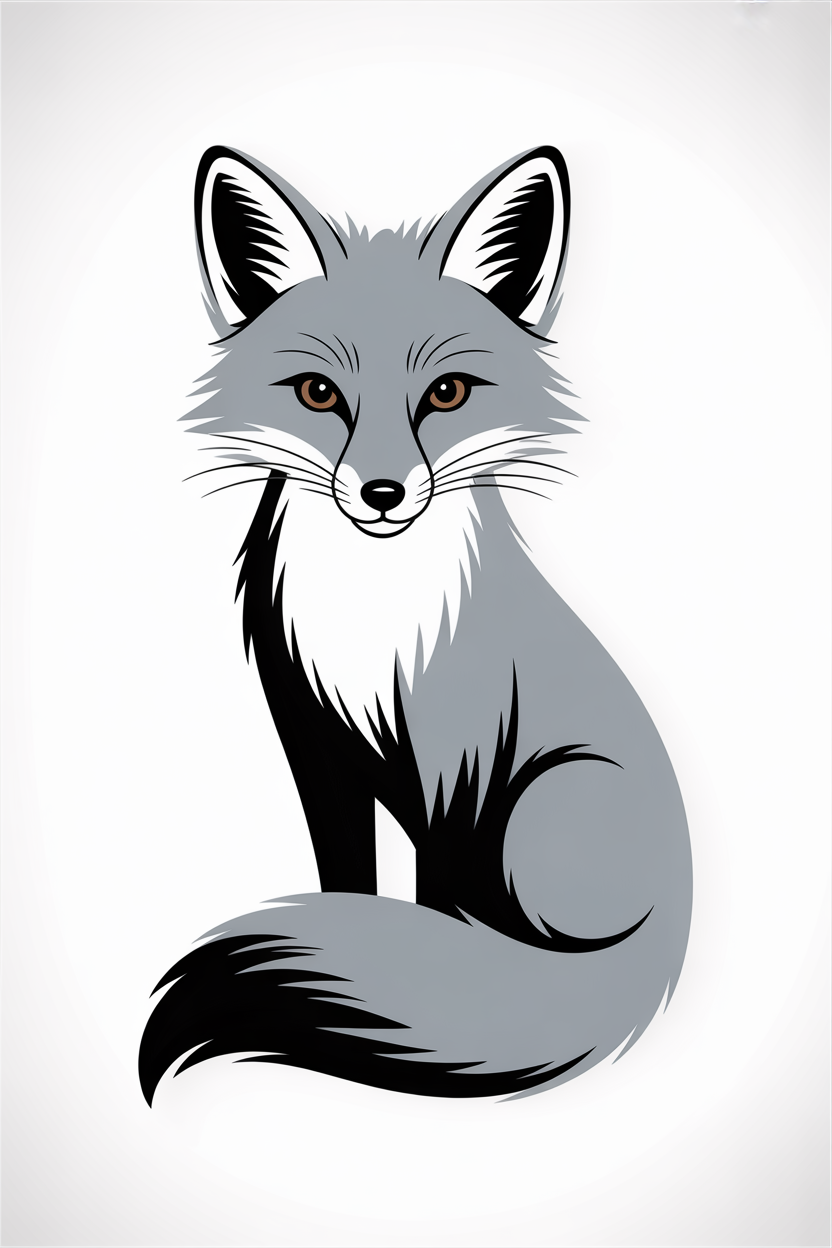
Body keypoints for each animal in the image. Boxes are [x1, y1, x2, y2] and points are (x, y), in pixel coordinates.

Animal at [139, 145, 692, 1104]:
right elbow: (345, 878)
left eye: (448, 393)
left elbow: (437, 909)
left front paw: (433, 989)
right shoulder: (313, 737)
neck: (369, 618)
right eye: (318, 394)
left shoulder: (455, 768)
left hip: (538, 815)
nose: (383, 494)